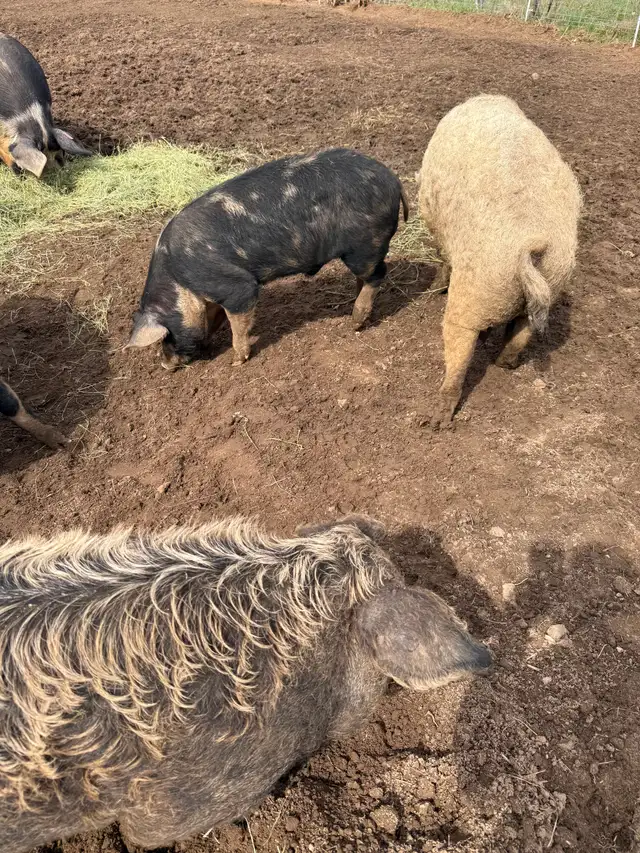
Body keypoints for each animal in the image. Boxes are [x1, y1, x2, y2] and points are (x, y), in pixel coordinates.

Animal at [125, 148, 409, 370]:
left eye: (166, 336)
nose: (165, 365)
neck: (180, 281)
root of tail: (393, 180)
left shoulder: (236, 286)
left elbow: (238, 321)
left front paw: (236, 361)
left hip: (365, 244)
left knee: (377, 274)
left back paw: (355, 323)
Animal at [416, 95, 582, 429]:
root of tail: (531, 244)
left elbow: (442, 256)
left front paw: (434, 287)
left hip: (472, 296)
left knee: (458, 351)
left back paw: (437, 420)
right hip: (552, 281)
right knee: (522, 332)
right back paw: (505, 363)